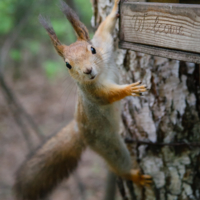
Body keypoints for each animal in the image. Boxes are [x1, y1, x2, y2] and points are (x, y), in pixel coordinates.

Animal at [14, 0, 152, 199]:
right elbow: (107, 96)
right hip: (106, 143)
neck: (101, 73)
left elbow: (104, 30)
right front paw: (129, 89)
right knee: (118, 161)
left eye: (92, 49)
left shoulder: (104, 46)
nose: (87, 70)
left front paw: (114, 10)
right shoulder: (92, 92)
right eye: (67, 64)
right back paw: (134, 175)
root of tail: (79, 130)